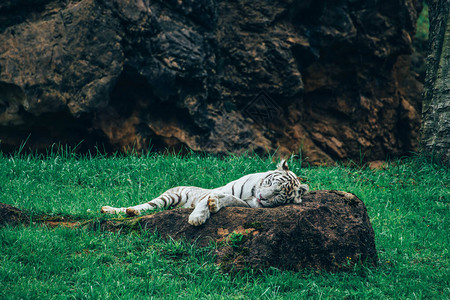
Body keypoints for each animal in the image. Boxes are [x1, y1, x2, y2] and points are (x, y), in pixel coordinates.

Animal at [100, 159, 308, 225]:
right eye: (271, 183)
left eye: (279, 196)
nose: (262, 197)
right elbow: (204, 201)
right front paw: (197, 218)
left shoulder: (245, 204)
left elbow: (227, 199)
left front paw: (214, 204)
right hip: (169, 197)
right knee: (145, 206)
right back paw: (118, 210)